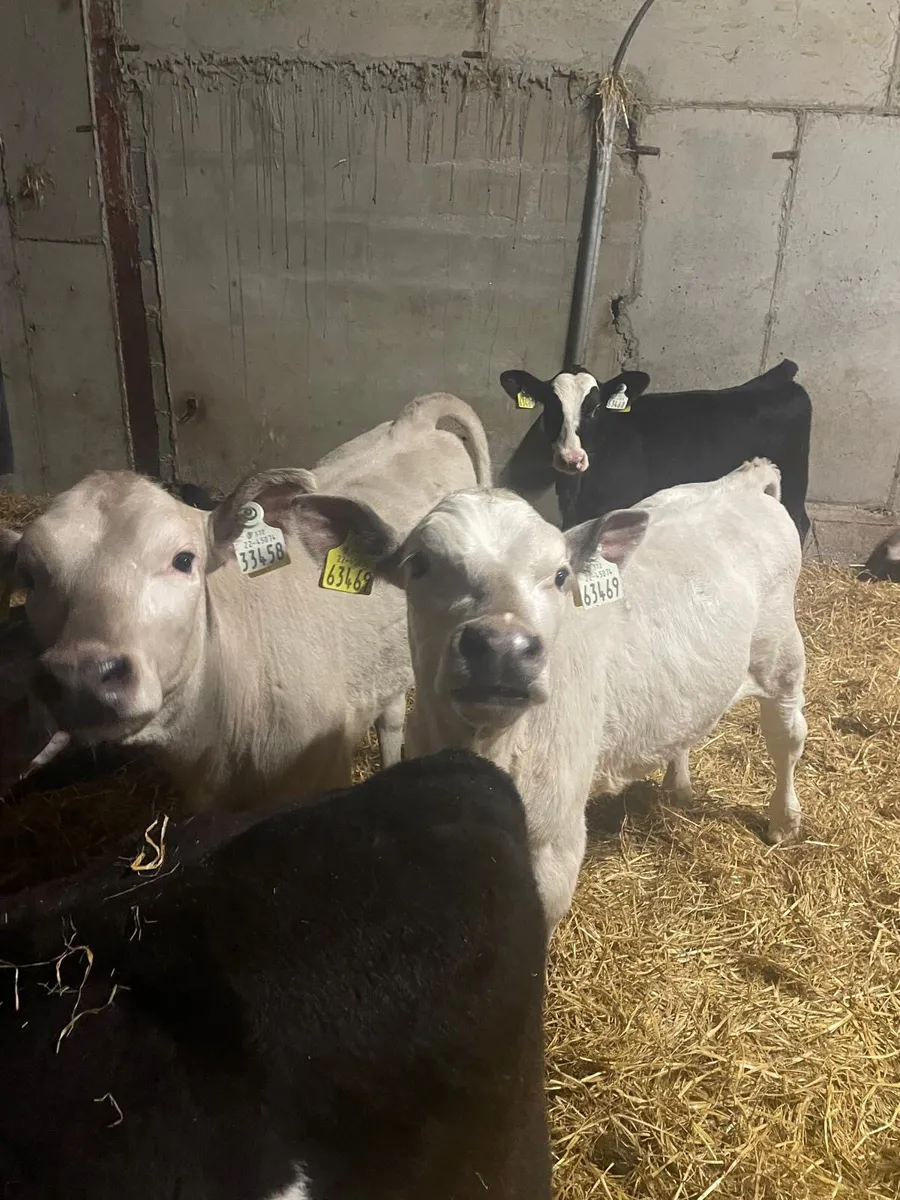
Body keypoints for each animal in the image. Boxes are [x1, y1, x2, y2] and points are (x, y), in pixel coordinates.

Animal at [290, 459, 807, 930]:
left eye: (560, 576)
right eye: (418, 564)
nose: (502, 646)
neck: (489, 747)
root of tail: (742, 481)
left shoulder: (556, 836)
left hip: (783, 657)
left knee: (787, 737)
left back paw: (783, 821)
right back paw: (676, 786)